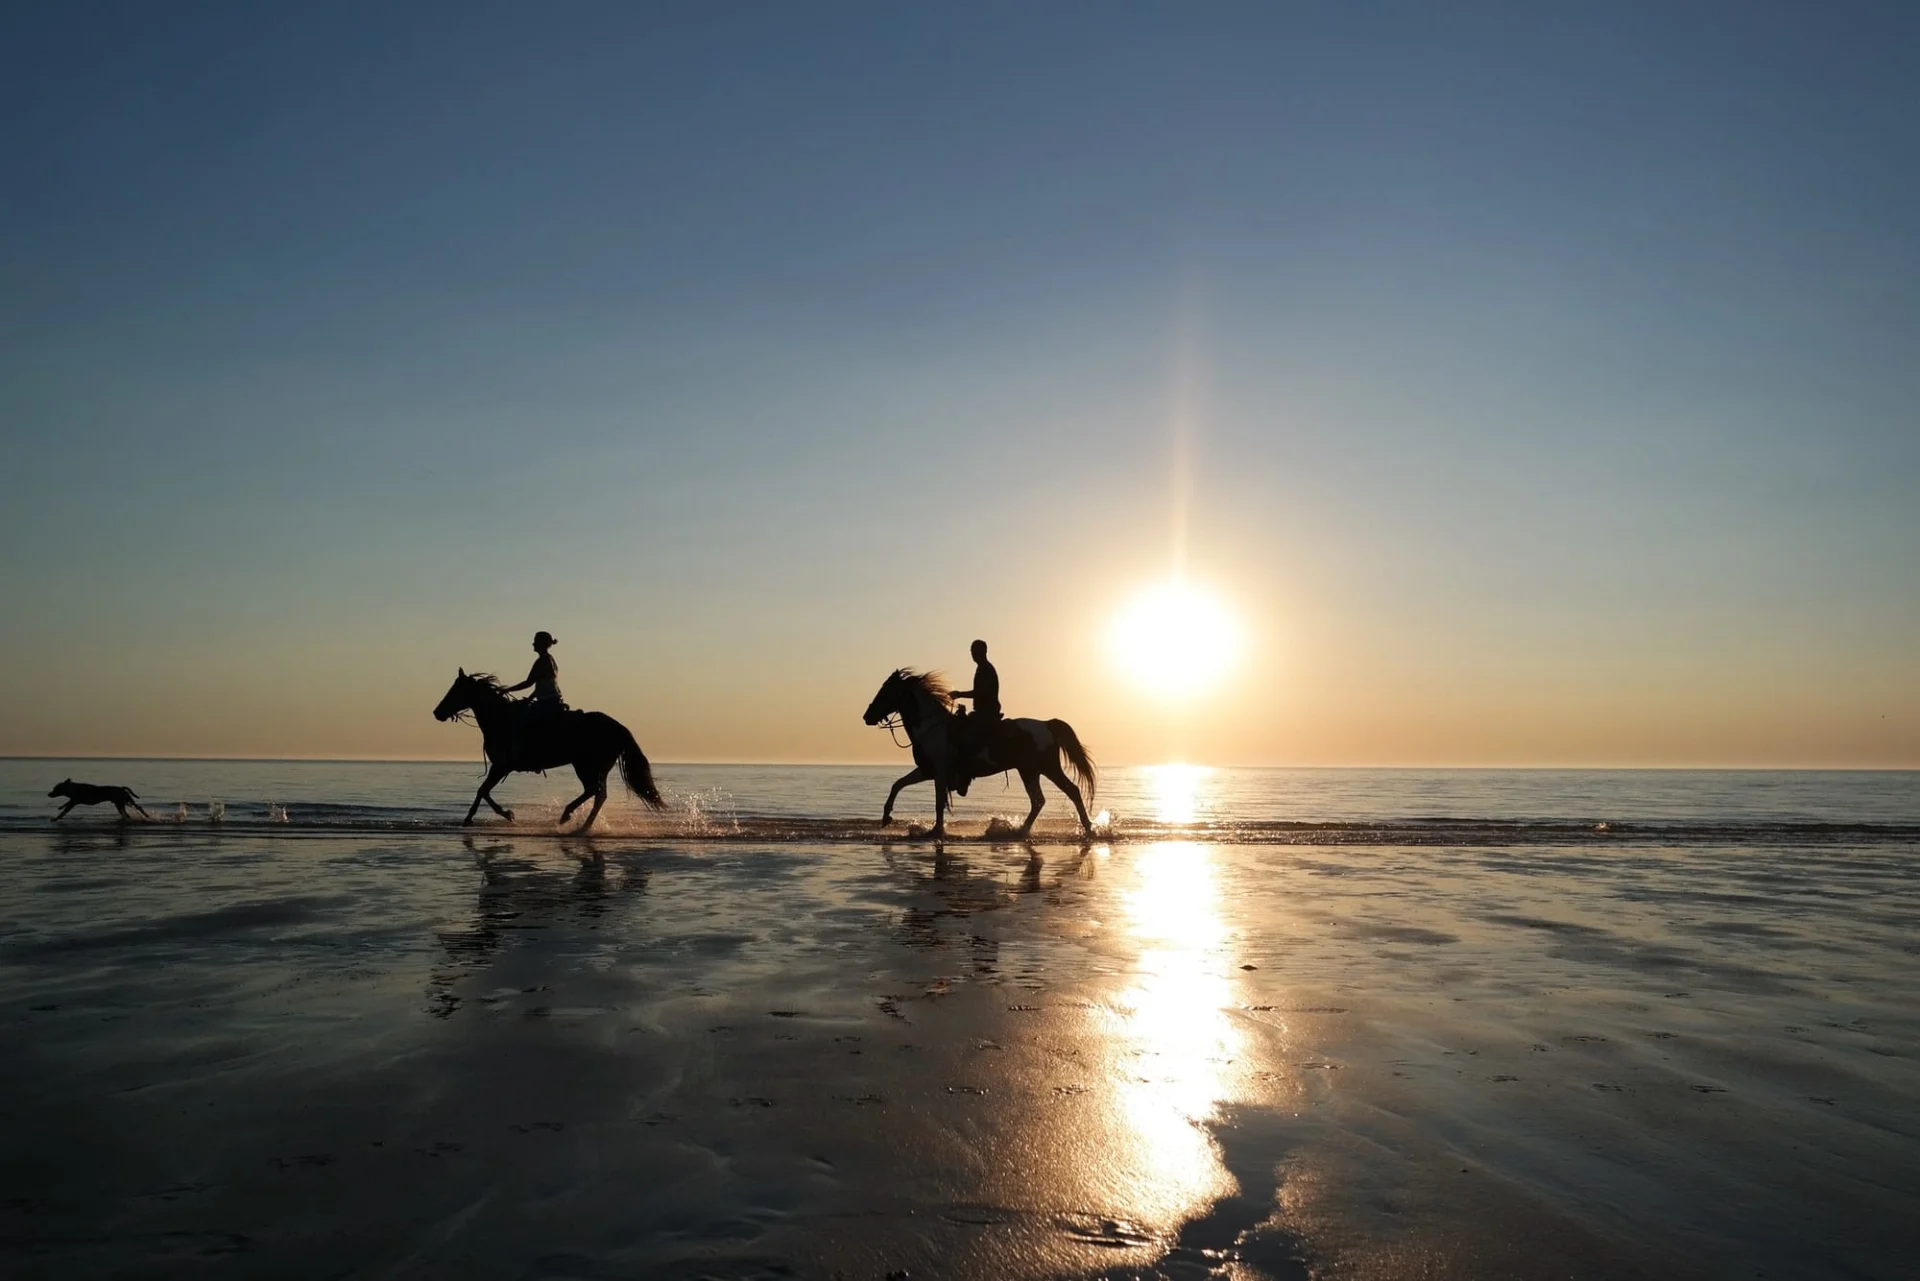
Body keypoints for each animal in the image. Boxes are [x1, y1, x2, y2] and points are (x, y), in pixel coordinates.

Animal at [432, 669, 665, 830]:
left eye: (455, 690)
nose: (437, 712)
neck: (500, 719)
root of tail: (618, 726)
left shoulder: (502, 766)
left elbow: (483, 790)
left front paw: (497, 815)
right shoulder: (500, 767)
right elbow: (484, 790)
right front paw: (485, 816)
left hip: (586, 766)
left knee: (594, 791)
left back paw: (568, 817)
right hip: (597, 768)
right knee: (599, 795)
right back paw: (582, 825)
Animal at [862, 668, 1096, 838]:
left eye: (885, 691)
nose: (867, 716)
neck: (931, 727)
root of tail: (1047, 724)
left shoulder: (940, 773)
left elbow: (938, 802)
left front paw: (936, 831)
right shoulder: (927, 770)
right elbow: (898, 784)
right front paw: (886, 817)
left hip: (1047, 767)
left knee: (1071, 791)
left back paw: (1087, 829)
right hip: (1029, 771)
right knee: (1038, 800)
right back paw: (1021, 830)